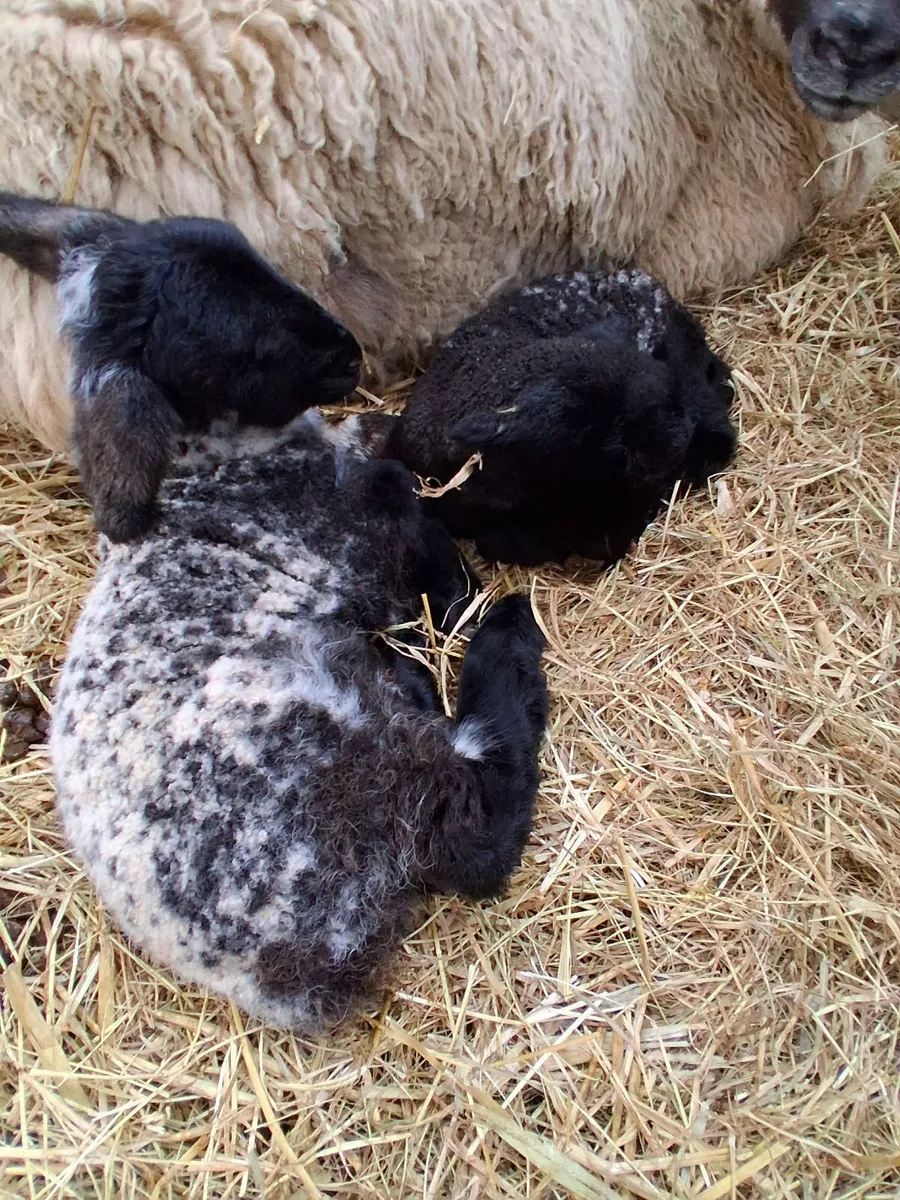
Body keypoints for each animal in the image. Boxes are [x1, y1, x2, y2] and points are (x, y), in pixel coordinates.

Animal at [23, 207, 549, 1033]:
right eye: (231, 345)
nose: (349, 352)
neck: (211, 461)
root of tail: (275, 976)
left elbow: (384, 449)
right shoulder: (359, 537)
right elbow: (415, 523)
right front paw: (466, 595)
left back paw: (410, 671)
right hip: (346, 754)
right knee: (479, 822)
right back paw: (508, 640)